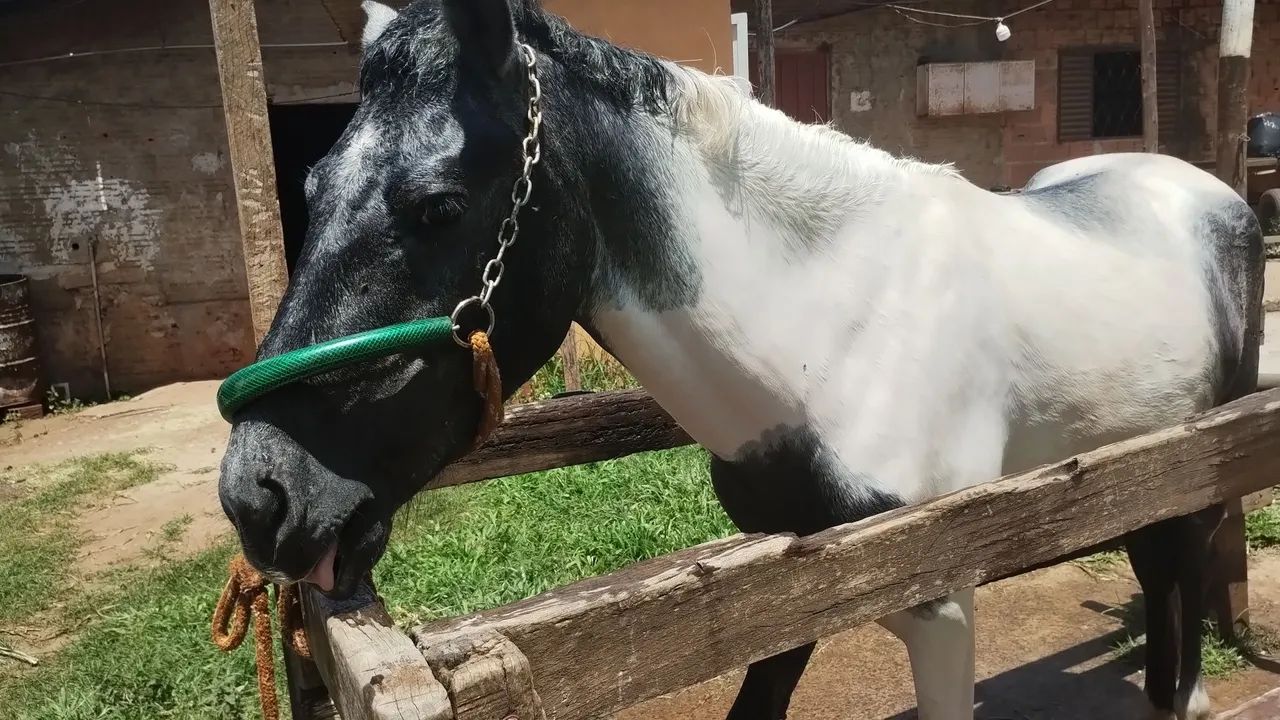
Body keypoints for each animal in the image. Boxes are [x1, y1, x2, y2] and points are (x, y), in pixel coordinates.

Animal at [216, 1, 1264, 718]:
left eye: (437, 205)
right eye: (311, 183)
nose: (258, 495)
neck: (837, 334)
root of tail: (1206, 190)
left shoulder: (941, 597)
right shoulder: (792, 579)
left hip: (1189, 462)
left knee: (1176, 567)